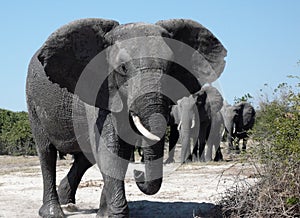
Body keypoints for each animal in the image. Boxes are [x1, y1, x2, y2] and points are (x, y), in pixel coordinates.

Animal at [25, 17, 226, 217]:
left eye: (171, 68)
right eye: (122, 68)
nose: (139, 174)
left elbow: (120, 150)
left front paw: (104, 214)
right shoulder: (99, 92)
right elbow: (110, 149)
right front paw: (115, 214)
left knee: (85, 157)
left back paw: (68, 203)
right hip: (33, 103)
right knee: (47, 152)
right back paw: (53, 212)